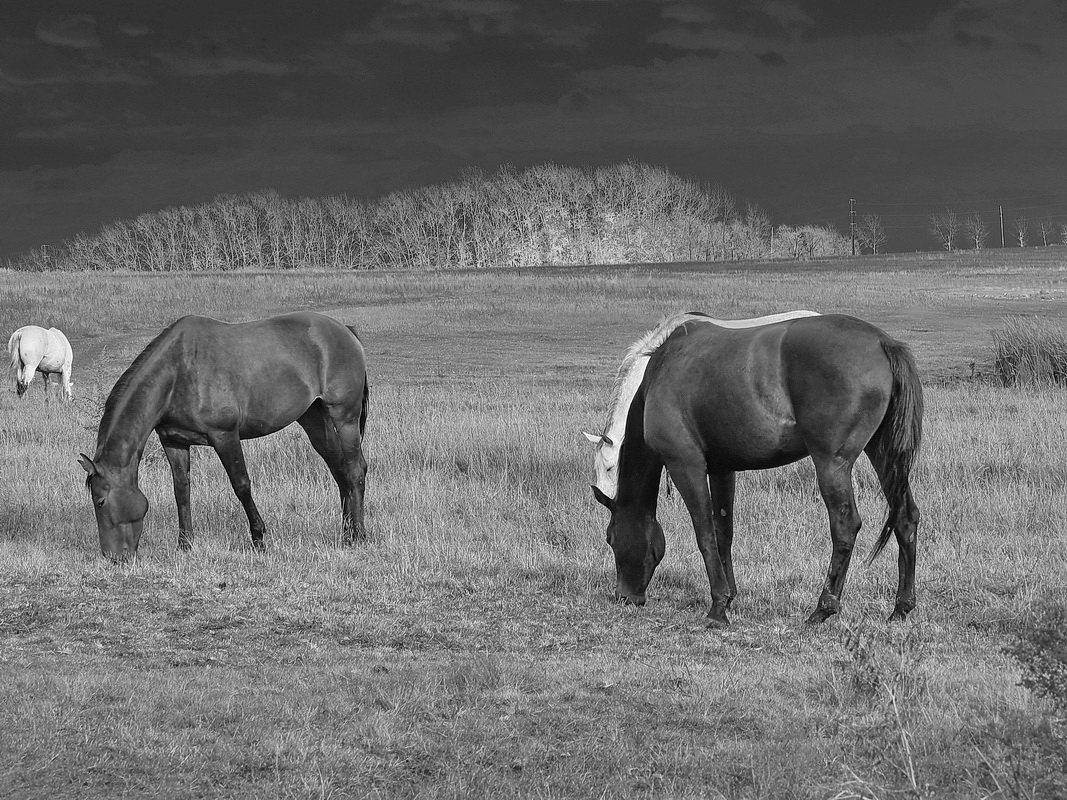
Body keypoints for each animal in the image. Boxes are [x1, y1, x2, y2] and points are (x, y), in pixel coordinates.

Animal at [78, 309, 371, 558]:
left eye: (100, 502)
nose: (113, 557)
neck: (178, 372)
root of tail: (345, 331)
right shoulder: (173, 441)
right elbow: (181, 489)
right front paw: (185, 544)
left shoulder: (225, 436)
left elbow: (241, 485)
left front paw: (259, 539)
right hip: (314, 420)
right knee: (339, 470)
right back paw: (345, 533)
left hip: (344, 417)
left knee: (355, 468)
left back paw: (359, 536)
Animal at [588, 311, 921, 627]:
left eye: (610, 537)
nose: (624, 596)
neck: (659, 371)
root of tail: (882, 342)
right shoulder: (722, 469)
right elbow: (723, 532)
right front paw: (729, 597)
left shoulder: (686, 466)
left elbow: (704, 532)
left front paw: (717, 607)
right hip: (883, 454)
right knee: (906, 517)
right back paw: (901, 608)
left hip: (831, 464)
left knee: (845, 526)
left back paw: (823, 608)